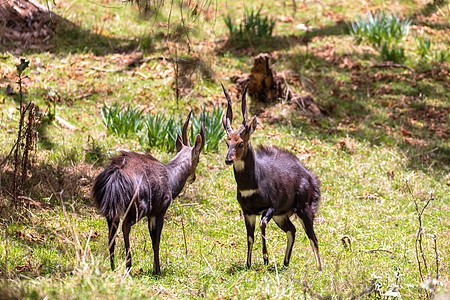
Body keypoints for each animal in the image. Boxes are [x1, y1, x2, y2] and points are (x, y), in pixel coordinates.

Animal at [92, 111, 205, 276]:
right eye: (198, 159)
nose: (194, 177)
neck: (170, 177)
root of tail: (117, 172)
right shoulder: (159, 211)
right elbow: (155, 241)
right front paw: (157, 270)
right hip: (139, 208)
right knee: (125, 226)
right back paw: (128, 267)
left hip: (111, 209)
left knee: (112, 232)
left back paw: (113, 267)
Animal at [221, 84, 320, 272]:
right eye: (227, 142)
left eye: (240, 143)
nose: (228, 159)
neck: (252, 185)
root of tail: (310, 176)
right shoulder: (248, 212)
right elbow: (249, 236)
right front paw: (248, 264)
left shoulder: (270, 207)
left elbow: (262, 225)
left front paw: (265, 258)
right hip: (282, 215)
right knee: (292, 230)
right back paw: (285, 263)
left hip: (303, 208)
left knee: (313, 237)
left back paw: (319, 269)